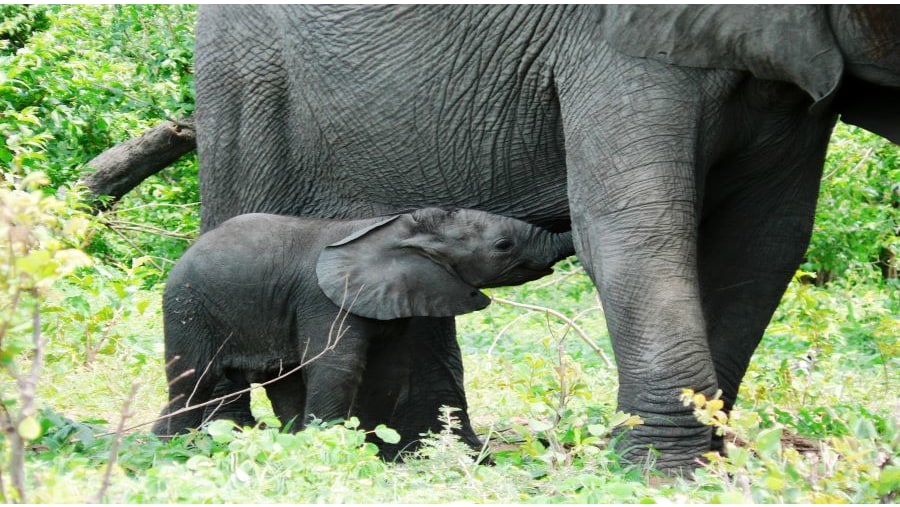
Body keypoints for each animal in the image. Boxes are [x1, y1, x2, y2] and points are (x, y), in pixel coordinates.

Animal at [155, 206, 572, 436]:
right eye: (504, 246)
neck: (396, 224)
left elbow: (388, 371)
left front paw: (369, 450)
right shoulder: (323, 298)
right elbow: (337, 366)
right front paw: (327, 445)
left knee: (279, 381)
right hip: (187, 307)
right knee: (194, 382)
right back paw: (170, 448)